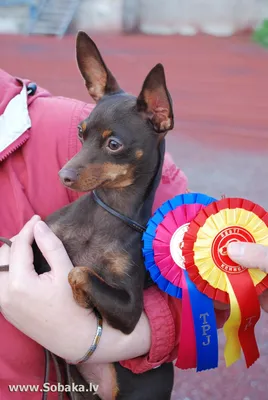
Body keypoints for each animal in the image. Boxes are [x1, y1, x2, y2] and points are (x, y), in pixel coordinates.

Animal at [0, 32, 176, 400]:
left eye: (114, 144)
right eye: (81, 133)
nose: (63, 175)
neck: (105, 214)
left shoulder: (130, 311)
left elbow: (78, 271)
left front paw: (82, 300)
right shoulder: (33, 238)